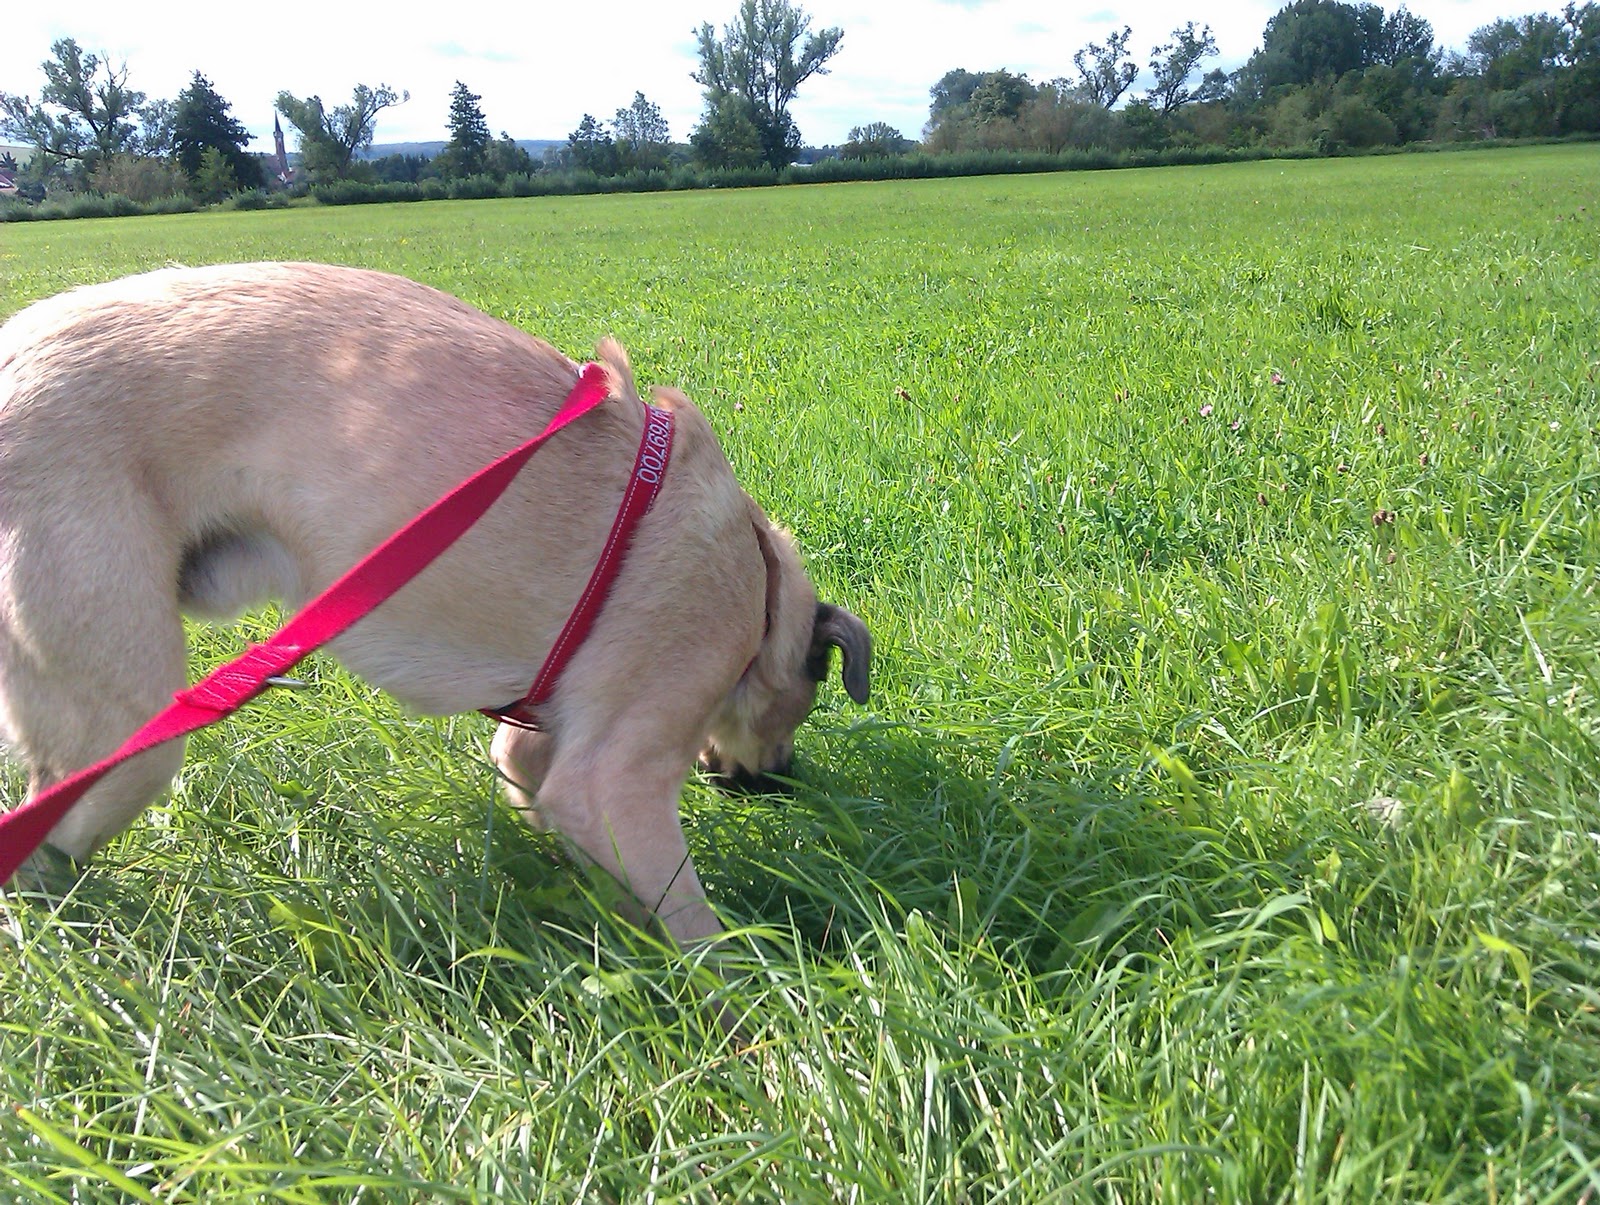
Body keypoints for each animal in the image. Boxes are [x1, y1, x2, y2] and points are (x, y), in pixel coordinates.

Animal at [0, 261, 871, 947]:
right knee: (41, 853)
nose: (782, 783)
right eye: (802, 708)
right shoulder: (614, 776)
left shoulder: (541, 756)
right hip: (126, 730)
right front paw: (756, 1012)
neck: (760, 581)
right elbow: (705, 938)